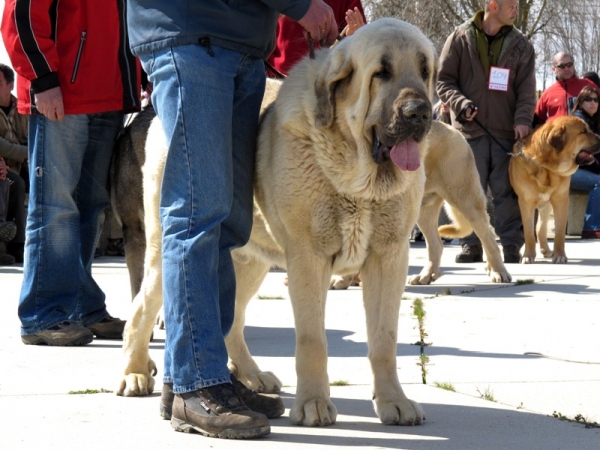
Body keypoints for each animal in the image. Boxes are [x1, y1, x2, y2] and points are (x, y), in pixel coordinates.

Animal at [116, 19, 440, 428]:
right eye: (381, 73)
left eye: (425, 70)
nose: (420, 113)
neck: (356, 177)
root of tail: (156, 117)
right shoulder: (308, 259)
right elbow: (313, 340)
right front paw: (314, 404)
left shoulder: (388, 258)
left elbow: (384, 338)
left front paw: (393, 402)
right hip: (167, 249)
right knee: (141, 309)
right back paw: (135, 372)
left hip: (248, 262)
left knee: (231, 321)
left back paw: (250, 378)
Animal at [510, 116, 600, 264]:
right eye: (583, 131)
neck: (546, 167)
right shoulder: (525, 202)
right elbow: (528, 232)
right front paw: (528, 256)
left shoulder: (561, 200)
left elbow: (559, 232)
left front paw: (560, 255)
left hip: (546, 205)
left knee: (540, 228)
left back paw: (546, 250)